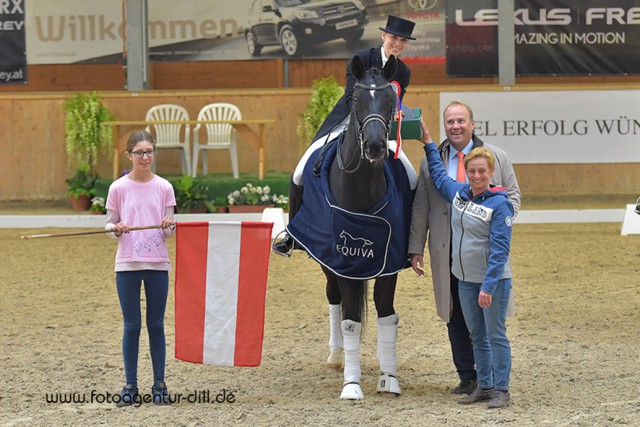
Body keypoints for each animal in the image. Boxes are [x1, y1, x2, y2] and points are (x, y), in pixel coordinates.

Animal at [286, 54, 416, 402]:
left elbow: (387, 316)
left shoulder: (388, 263)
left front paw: (389, 377)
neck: (361, 187)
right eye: (356, 99)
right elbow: (350, 322)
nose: (375, 146)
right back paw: (335, 356)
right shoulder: (342, 261)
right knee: (334, 299)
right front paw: (351, 384)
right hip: (325, 260)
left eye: (391, 100)